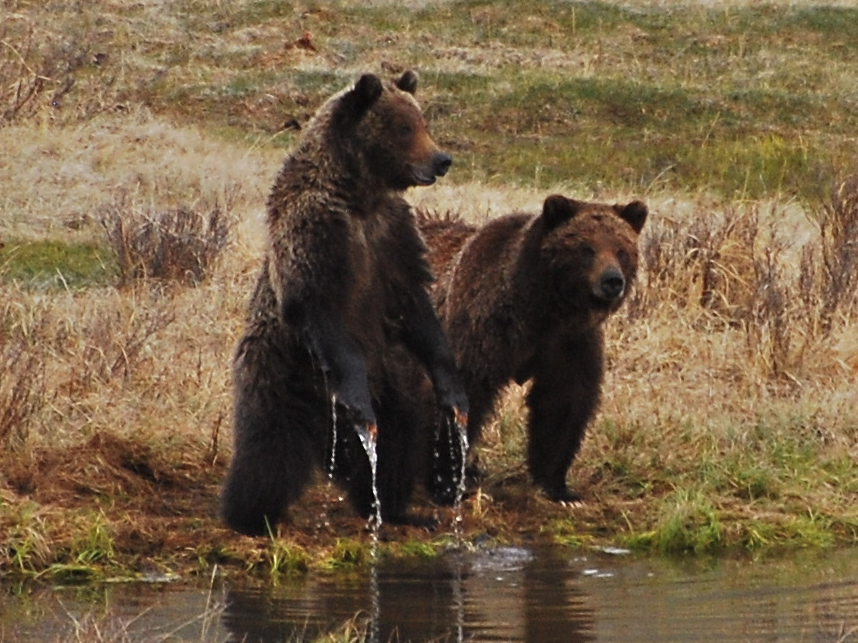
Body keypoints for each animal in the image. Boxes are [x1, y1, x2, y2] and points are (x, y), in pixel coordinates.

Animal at [220, 71, 469, 537]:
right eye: (404, 128)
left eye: (422, 121)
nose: (441, 159)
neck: (359, 195)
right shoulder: (316, 238)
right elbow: (321, 309)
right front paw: (357, 400)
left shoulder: (393, 239)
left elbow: (418, 311)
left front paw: (454, 394)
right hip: (285, 372)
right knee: (268, 448)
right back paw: (248, 514)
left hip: (392, 379)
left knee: (400, 440)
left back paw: (395, 506)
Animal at [418, 194, 647, 504]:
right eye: (586, 249)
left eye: (622, 250)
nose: (612, 281)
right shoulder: (482, 331)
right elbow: (463, 392)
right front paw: (447, 482)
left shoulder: (568, 341)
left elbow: (562, 401)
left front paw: (558, 485)